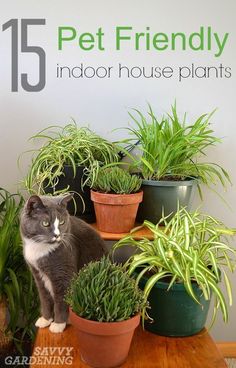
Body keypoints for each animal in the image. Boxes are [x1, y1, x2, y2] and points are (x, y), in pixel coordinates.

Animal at [19, 196, 106, 334]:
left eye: (62, 222)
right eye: (45, 223)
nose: (57, 235)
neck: (39, 249)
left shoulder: (63, 272)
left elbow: (61, 299)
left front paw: (58, 325)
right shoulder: (37, 274)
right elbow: (44, 297)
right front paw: (45, 320)